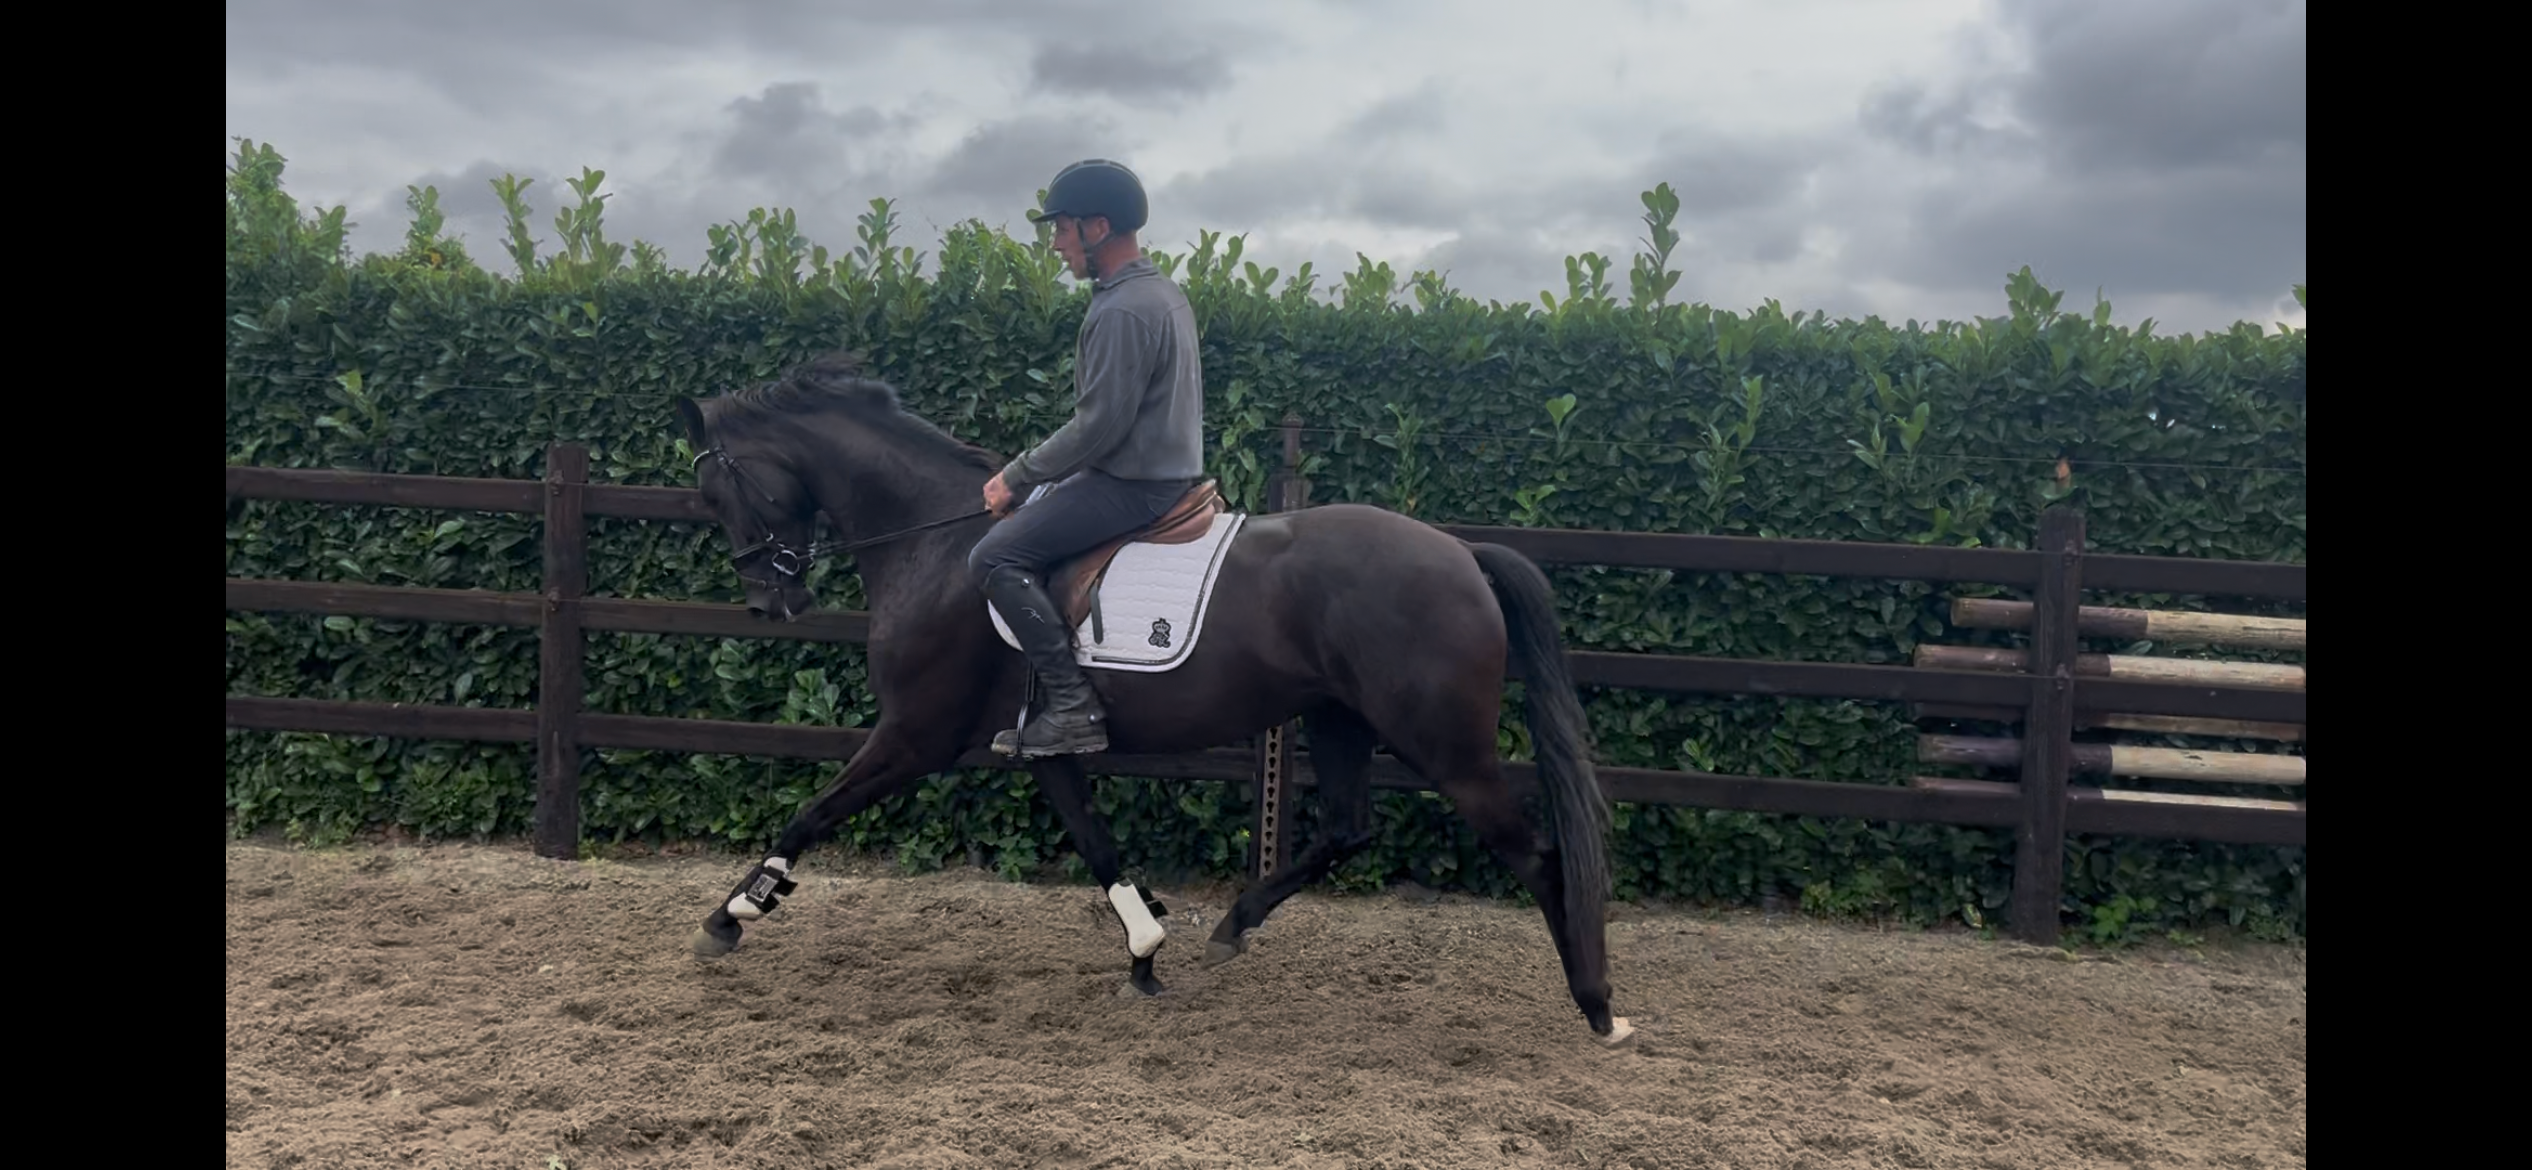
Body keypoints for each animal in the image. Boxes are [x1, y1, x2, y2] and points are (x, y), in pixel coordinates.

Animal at [671, 350, 1632, 1045]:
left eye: (719, 489)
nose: (769, 602)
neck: (940, 548)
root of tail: (1461, 552)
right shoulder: (1043, 742)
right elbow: (1097, 843)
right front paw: (1145, 950)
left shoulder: (916, 734)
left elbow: (813, 810)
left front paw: (735, 910)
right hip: (1338, 720)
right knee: (1348, 828)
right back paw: (1235, 924)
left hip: (1444, 744)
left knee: (1539, 858)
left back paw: (1597, 1006)